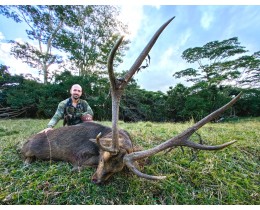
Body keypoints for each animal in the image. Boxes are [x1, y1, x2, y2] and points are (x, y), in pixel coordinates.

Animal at [20, 16, 242, 184]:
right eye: (103, 159)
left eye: (116, 169)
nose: (96, 180)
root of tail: (25, 142)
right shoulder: (80, 156)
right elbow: (80, 163)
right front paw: (77, 169)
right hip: (30, 149)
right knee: (27, 155)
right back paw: (27, 161)